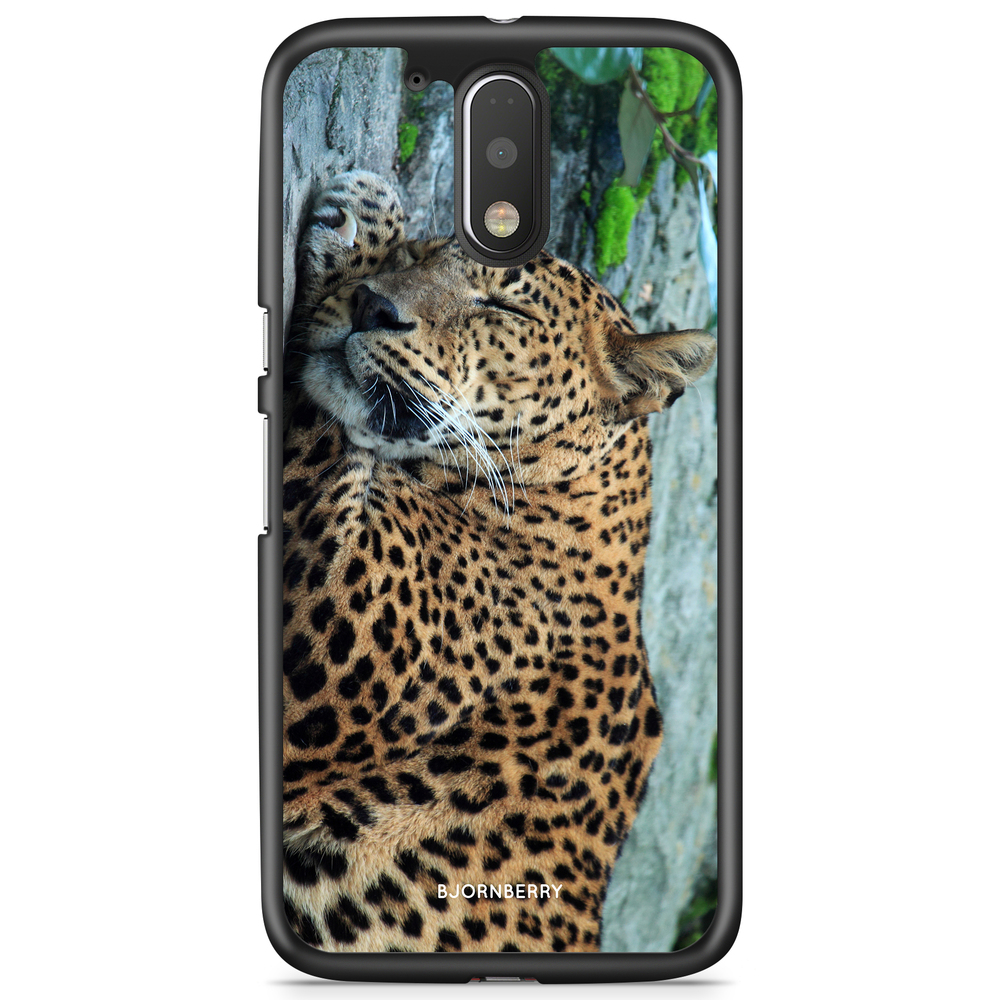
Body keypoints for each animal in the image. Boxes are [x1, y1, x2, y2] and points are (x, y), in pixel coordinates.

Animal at [280, 171, 716, 953]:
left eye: (503, 307)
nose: (373, 306)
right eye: (423, 255)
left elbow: (325, 426)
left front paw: (361, 218)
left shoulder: (337, 616)